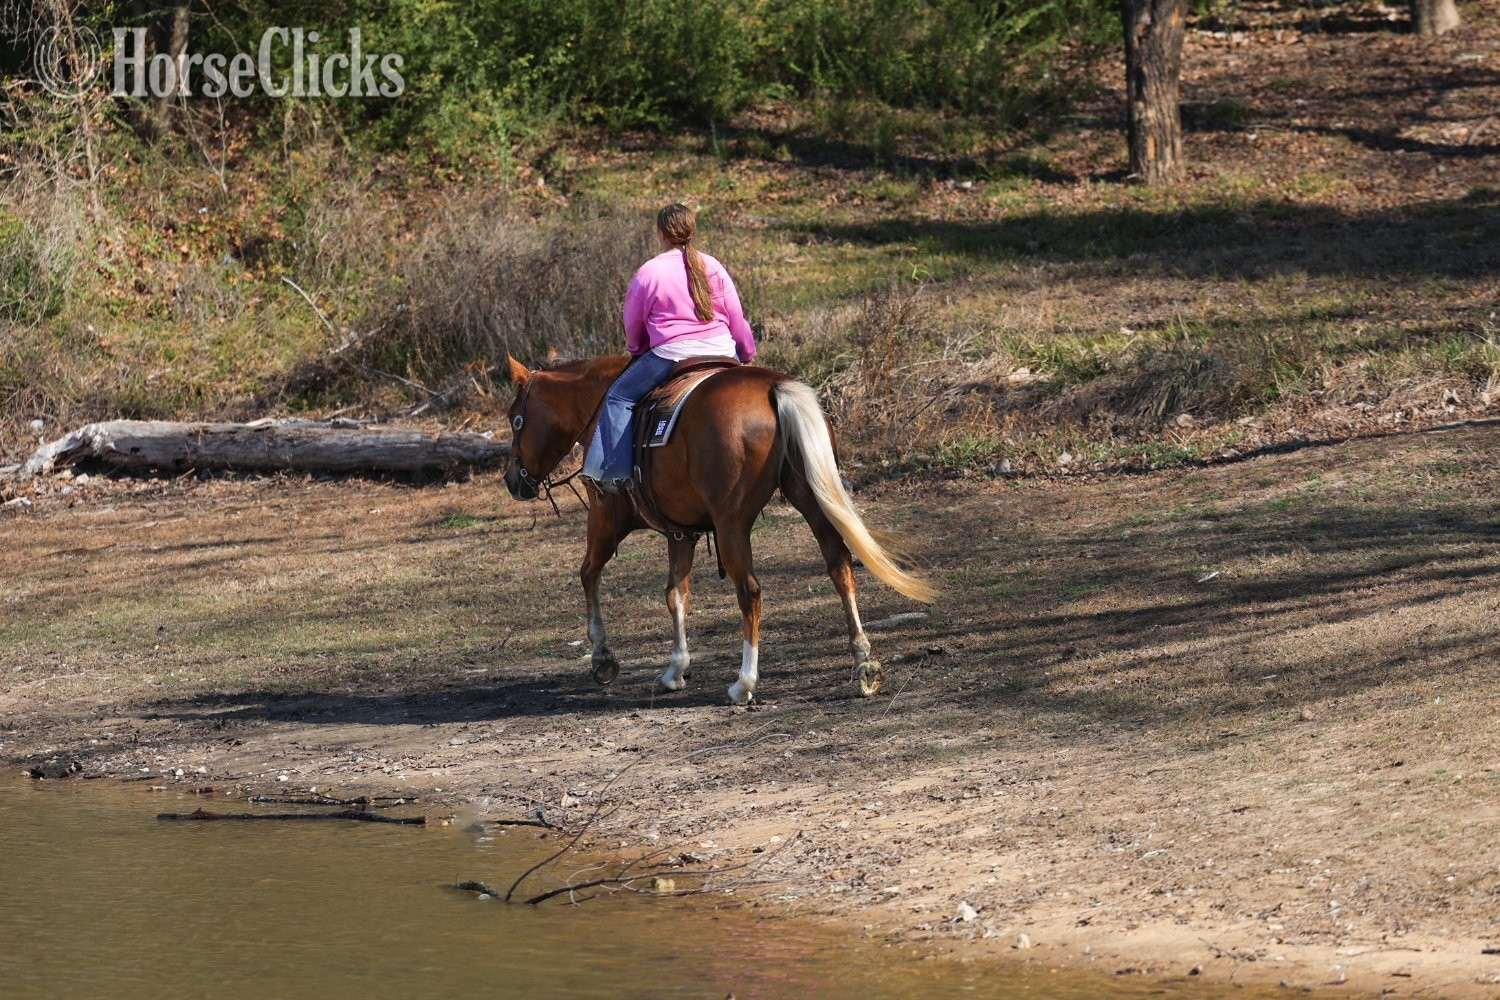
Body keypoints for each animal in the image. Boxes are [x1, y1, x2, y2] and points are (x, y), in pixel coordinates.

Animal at [502, 354, 934, 704]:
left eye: (515, 418)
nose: (511, 480)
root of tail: (774, 387)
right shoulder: (680, 532)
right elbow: (676, 594)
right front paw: (676, 668)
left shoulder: (606, 518)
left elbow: (589, 573)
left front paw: (602, 657)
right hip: (809, 498)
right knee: (840, 565)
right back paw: (864, 663)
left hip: (731, 525)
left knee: (750, 591)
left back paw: (744, 683)